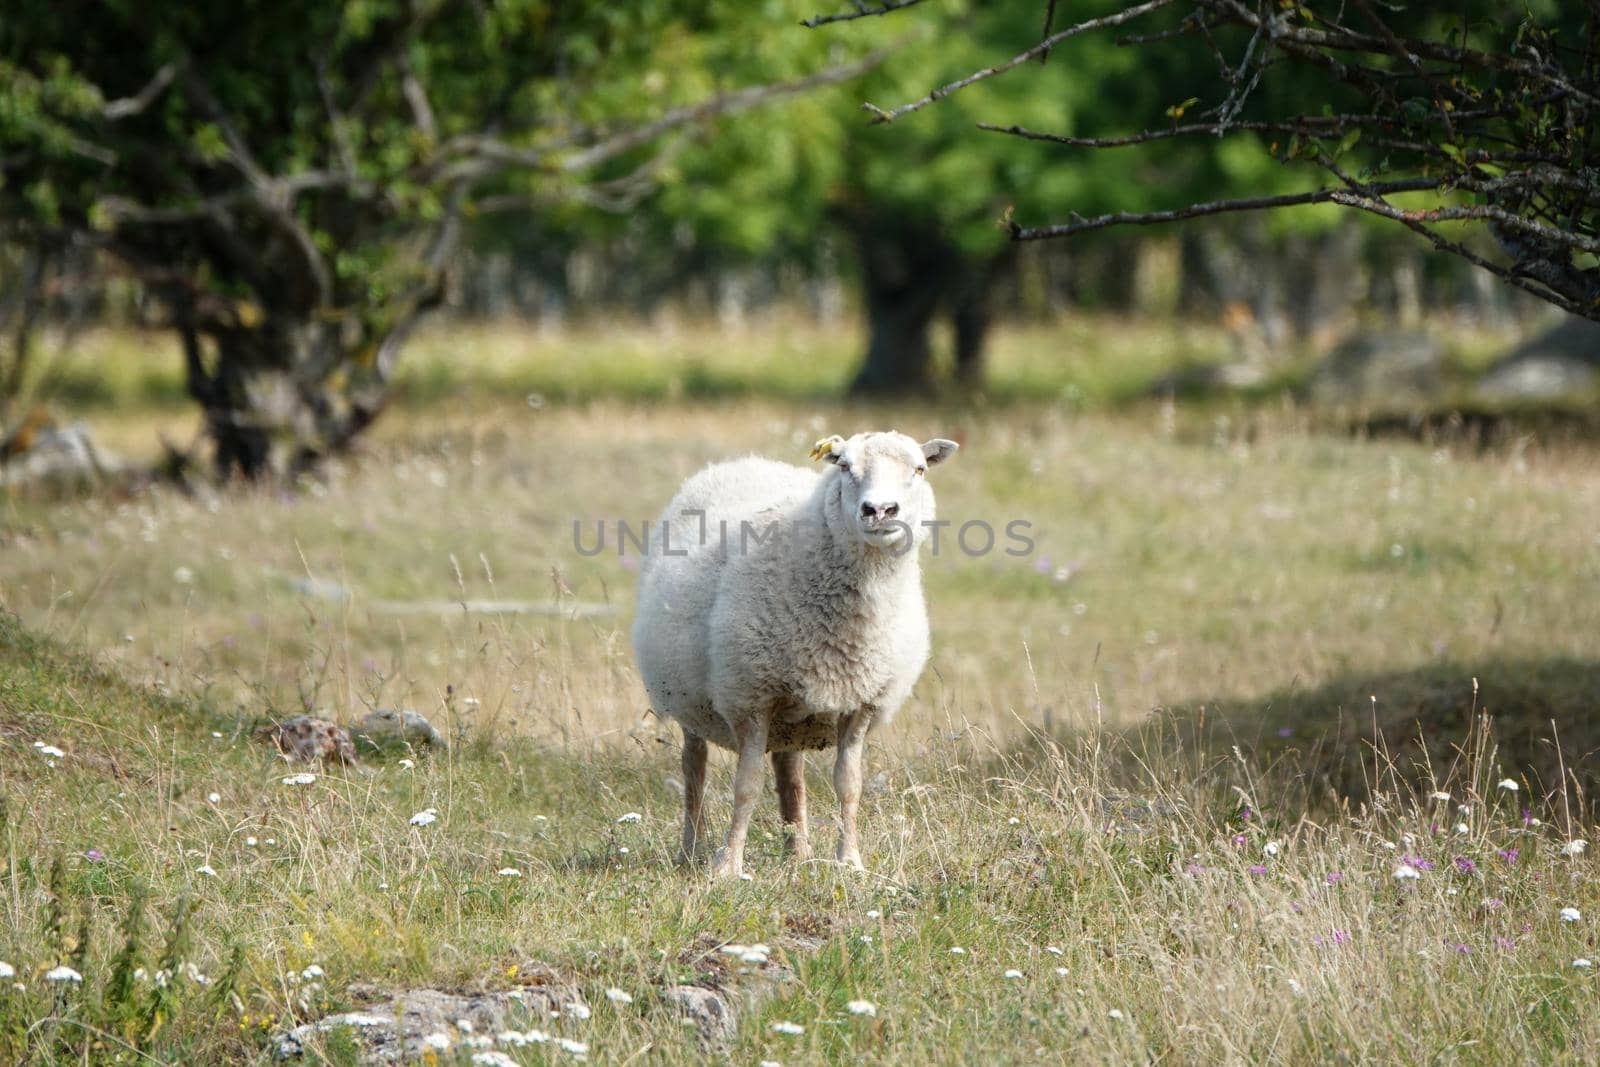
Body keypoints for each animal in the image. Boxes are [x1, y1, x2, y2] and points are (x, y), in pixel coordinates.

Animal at [630, 428, 953, 876]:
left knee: (790, 775)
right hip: (687, 697)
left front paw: (850, 861)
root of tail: (745, 461)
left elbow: (849, 786)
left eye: (919, 469)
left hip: (791, 715)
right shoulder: (749, 698)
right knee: (694, 768)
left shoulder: (861, 702)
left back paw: (797, 850)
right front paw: (730, 865)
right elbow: (746, 787)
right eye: (845, 466)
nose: (880, 510)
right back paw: (691, 849)